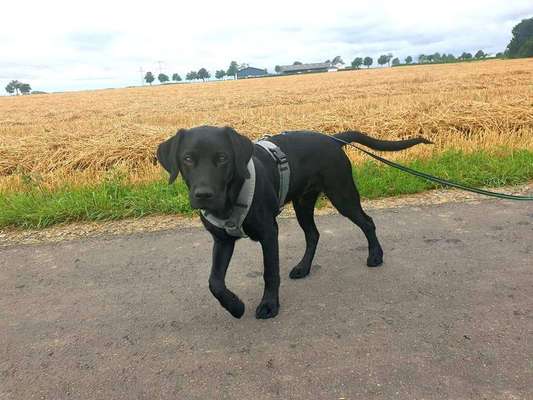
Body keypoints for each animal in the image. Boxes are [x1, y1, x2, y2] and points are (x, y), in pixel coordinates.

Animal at [156, 125, 430, 318]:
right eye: (188, 159)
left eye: (223, 158)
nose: (204, 195)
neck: (230, 200)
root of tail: (333, 139)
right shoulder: (222, 240)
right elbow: (215, 282)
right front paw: (235, 307)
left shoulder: (269, 233)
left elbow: (270, 272)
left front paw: (269, 305)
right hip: (303, 203)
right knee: (313, 234)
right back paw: (303, 268)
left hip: (342, 195)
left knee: (367, 222)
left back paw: (375, 255)